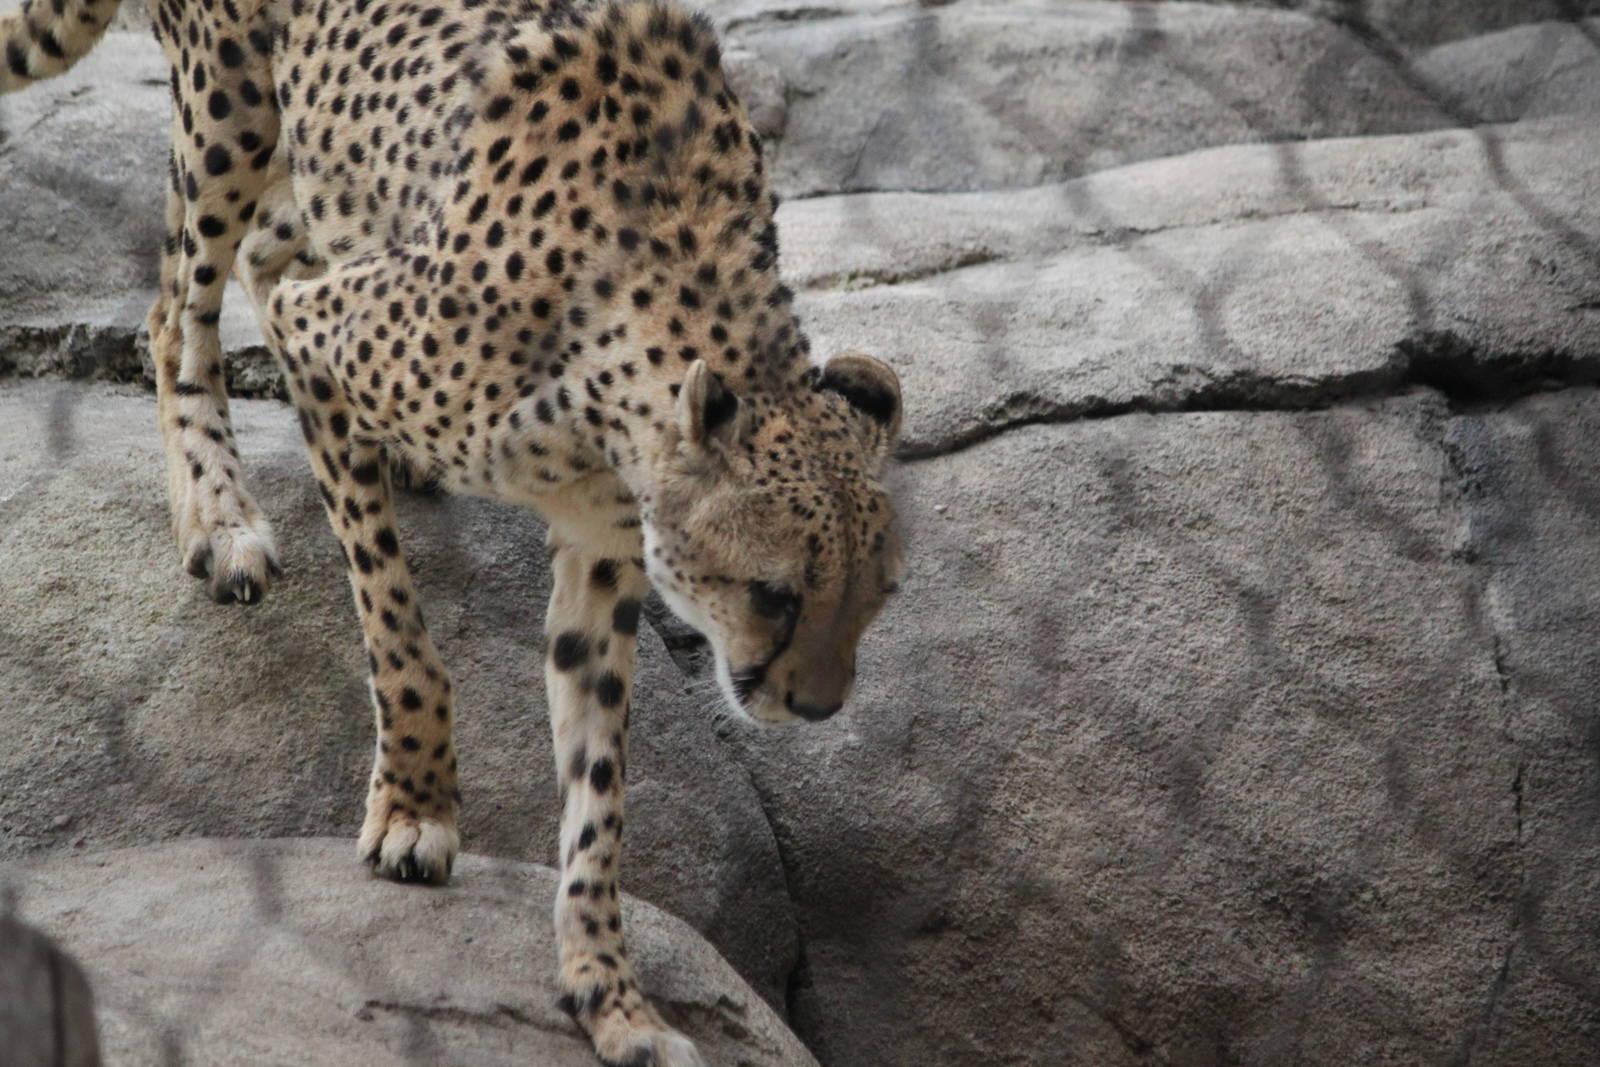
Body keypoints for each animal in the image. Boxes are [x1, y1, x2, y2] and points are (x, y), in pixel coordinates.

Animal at [1, 0, 907, 1062]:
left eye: (875, 601)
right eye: (774, 591)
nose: (818, 706)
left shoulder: (604, 556)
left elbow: (599, 788)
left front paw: (610, 993)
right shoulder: (325, 340)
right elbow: (398, 630)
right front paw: (416, 804)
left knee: (261, 248)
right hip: (228, 113)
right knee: (177, 302)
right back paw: (220, 513)